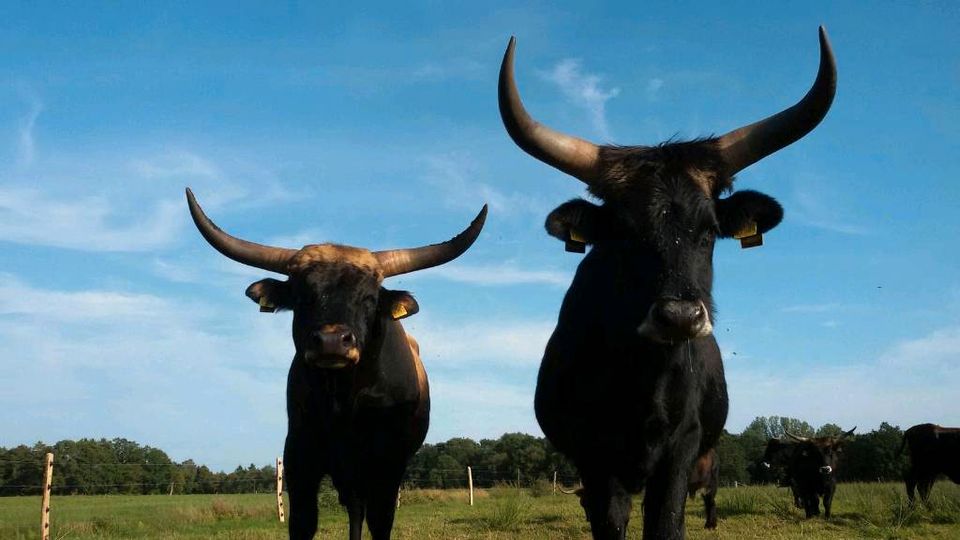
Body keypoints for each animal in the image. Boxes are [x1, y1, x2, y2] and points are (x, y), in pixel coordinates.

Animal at [186, 187, 488, 540]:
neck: (345, 399)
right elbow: (304, 521)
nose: (331, 341)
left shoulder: (387, 464)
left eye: (370, 297)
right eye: (302, 295)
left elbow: (381, 522)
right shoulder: (300, 454)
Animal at [498, 26, 836, 540]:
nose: (679, 317)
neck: (641, 378)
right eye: (623, 231)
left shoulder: (681, 450)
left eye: (709, 230)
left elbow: (665, 522)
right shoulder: (595, 459)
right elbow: (610, 520)